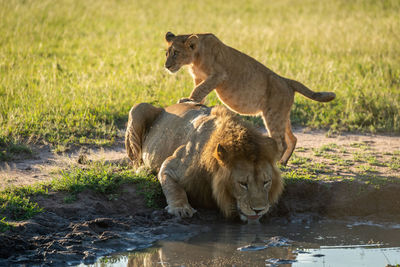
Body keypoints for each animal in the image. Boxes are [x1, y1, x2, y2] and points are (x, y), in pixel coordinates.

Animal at [126, 102, 284, 222]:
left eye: (266, 182)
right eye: (243, 184)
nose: (259, 210)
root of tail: (167, 107)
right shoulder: (171, 166)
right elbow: (174, 188)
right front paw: (181, 208)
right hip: (138, 108)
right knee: (135, 160)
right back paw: (143, 170)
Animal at [164, 31, 336, 165]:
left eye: (176, 53)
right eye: (166, 53)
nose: (166, 66)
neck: (194, 60)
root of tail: (286, 80)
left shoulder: (218, 75)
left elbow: (200, 89)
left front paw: (188, 100)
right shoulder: (199, 77)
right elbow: (200, 91)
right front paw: (195, 101)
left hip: (273, 115)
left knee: (281, 143)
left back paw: (275, 164)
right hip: (282, 115)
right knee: (292, 138)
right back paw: (283, 162)